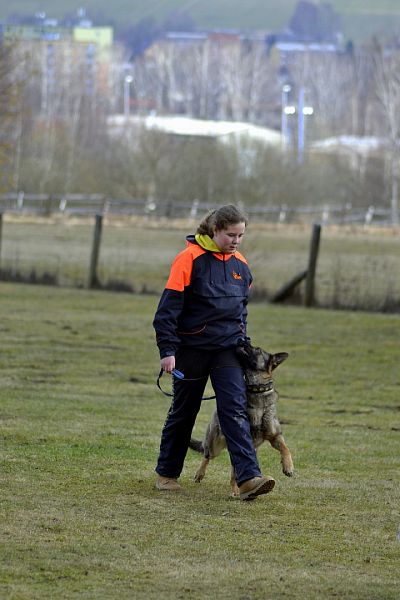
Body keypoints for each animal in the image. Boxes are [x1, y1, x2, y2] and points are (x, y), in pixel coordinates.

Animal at [188, 344, 294, 494]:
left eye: (258, 350)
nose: (242, 342)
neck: (257, 391)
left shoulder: (275, 436)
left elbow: (285, 448)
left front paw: (288, 467)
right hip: (214, 445)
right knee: (207, 456)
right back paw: (201, 474)